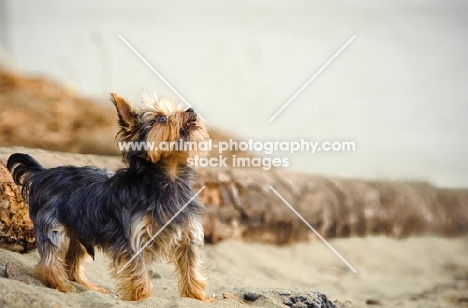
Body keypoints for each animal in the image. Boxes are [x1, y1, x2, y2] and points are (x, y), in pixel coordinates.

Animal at [7, 92, 210, 300]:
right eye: (161, 118)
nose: (191, 110)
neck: (170, 178)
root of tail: (42, 173)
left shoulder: (187, 237)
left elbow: (191, 269)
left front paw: (197, 297)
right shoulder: (132, 239)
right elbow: (138, 273)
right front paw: (141, 298)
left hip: (79, 232)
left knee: (72, 265)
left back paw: (89, 287)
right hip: (54, 228)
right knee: (49, 263)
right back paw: (62, 286)